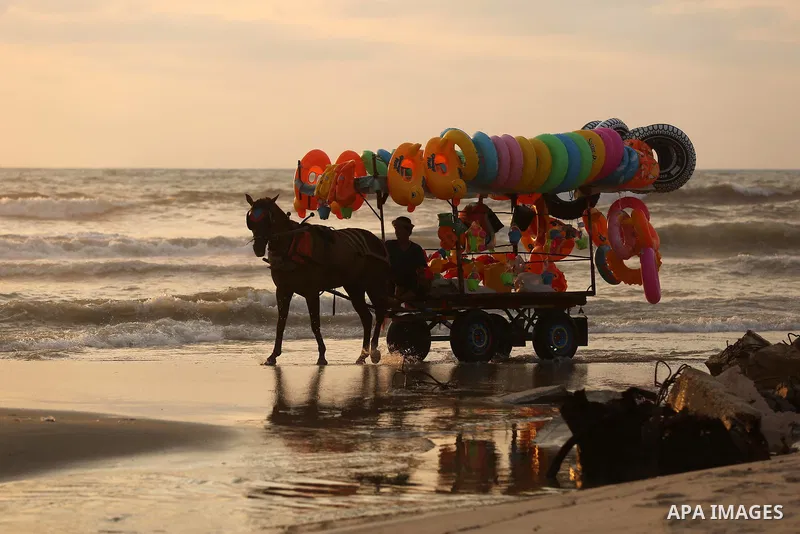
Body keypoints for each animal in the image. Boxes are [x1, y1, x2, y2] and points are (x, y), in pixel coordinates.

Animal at [245, 194, 391, 366]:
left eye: (268, 219)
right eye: (251, 220)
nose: (258, 248)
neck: (292, 246)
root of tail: (377, 241)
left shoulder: (311, 292)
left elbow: (315, 324)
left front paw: (322, 355)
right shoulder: (283, 290)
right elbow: (281, 323)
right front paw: (273, 355)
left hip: (374, 283)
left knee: (380, 312)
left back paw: (374, 351)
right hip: (354, 287)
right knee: (367, 318)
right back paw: (362, 355)